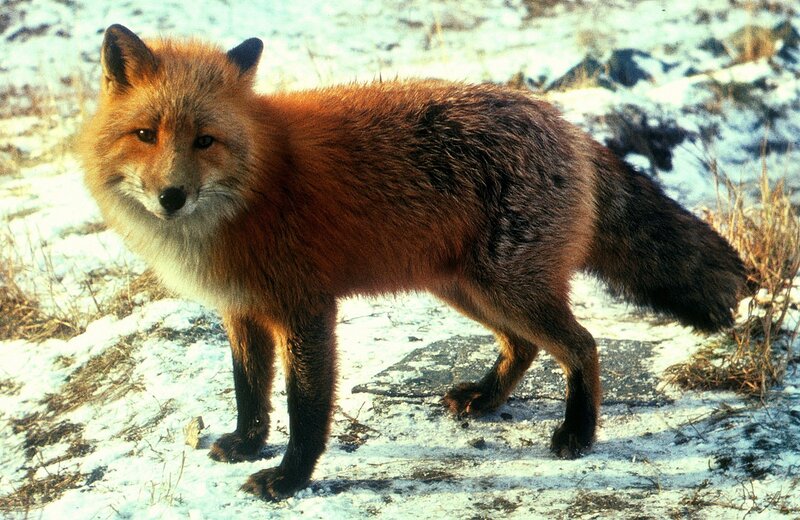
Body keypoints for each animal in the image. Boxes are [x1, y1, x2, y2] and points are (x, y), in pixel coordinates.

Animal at [79, 24, 747, 500]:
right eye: (145, 135)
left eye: (205, 141)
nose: (171, 197)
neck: (254, 187)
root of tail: (566, 124)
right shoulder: (242, 311)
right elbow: (250, 391)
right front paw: (247, 445)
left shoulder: (305, 310)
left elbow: (304, 407)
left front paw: (289, 480)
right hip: (467, 289)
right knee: (525, 346)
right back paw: (485, 397)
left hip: (506, 288)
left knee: (583, 346)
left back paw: (578, 433)